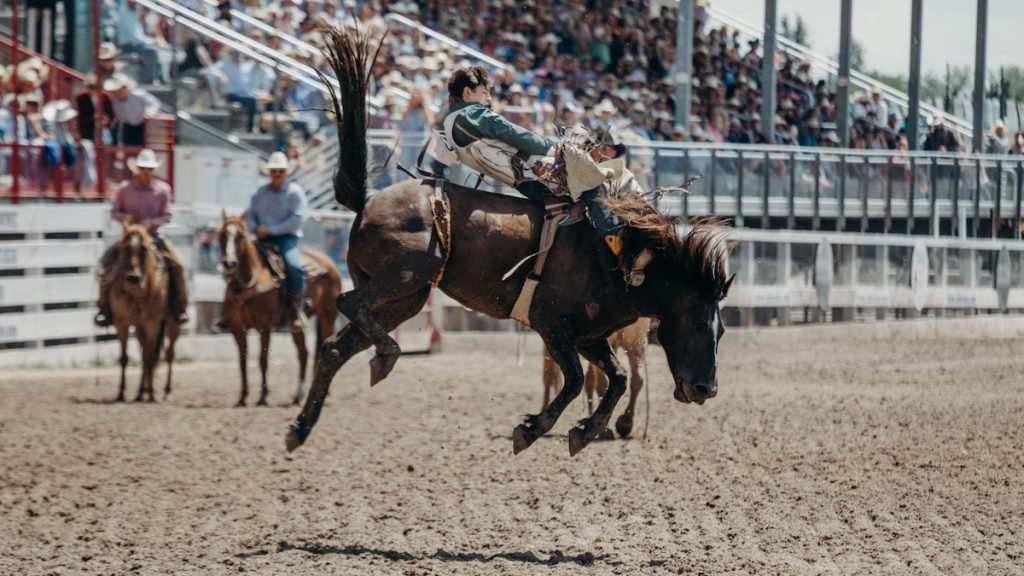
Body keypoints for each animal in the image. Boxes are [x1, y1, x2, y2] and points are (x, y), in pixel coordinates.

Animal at [107, 223, 183, 399]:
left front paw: (152, 393)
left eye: (144, 249)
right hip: (140, 328)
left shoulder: (152, 324)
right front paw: (121, 392)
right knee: (146, 354)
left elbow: (150, 357)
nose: (133, 278)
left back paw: (164, 391)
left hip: (173, 324)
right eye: (124, 248)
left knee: (168, 354)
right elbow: (125, 357)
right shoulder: (122, 323)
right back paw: (141, 392)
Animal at [217, 213, 342, 405]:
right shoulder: (237, 328)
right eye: (222, 235)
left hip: (327, 316)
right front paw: (243, 397)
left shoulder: (264, 326)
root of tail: (329, 263)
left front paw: (263, 397)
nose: (229, 263)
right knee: (304, 354)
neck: (248, 282)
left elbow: (262, 360)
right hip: (296, 325)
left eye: (240, 236)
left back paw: (323, 392)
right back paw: (299, 395)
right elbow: (242, 361)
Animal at [286, 28, 737, 457]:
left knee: (334, 345)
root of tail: (368, 200)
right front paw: (532, 430)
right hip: (405, 276)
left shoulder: (588, 336)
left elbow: (618, 378)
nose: (706, 390)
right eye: (699, 322)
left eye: (722, 331)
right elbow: (576, 380)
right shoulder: (552, 325)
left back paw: (300, 428)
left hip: (404, 297)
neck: (619, 259)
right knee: (348, 304)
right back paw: (385, 356)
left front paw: (584, 432)